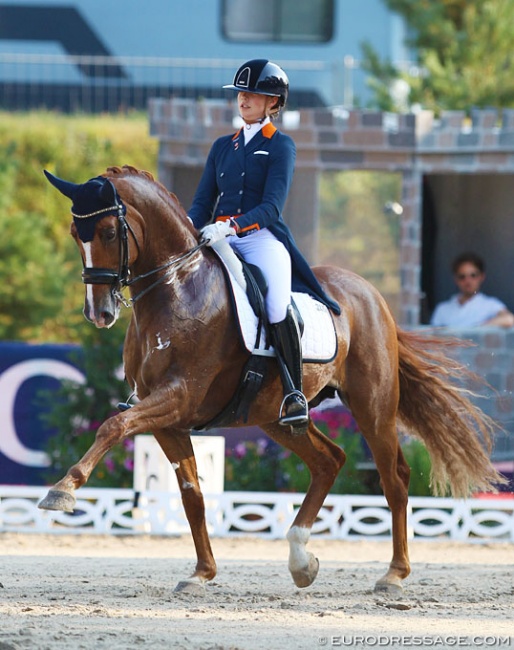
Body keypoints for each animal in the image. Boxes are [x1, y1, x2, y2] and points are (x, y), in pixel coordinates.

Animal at [39, 166, 500, 592]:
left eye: (108, 231)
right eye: (75, 233)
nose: (98, 313)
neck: (177, 287)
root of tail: (370, 293)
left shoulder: (178, 396)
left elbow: (112, 426)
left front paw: (63, 490)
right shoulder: (167, 417)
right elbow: (192, 494)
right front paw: (202, 573)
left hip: (373, 408)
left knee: (395, 479)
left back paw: (393, 574)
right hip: (275, 417)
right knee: (329, 461)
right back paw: (301, 560)